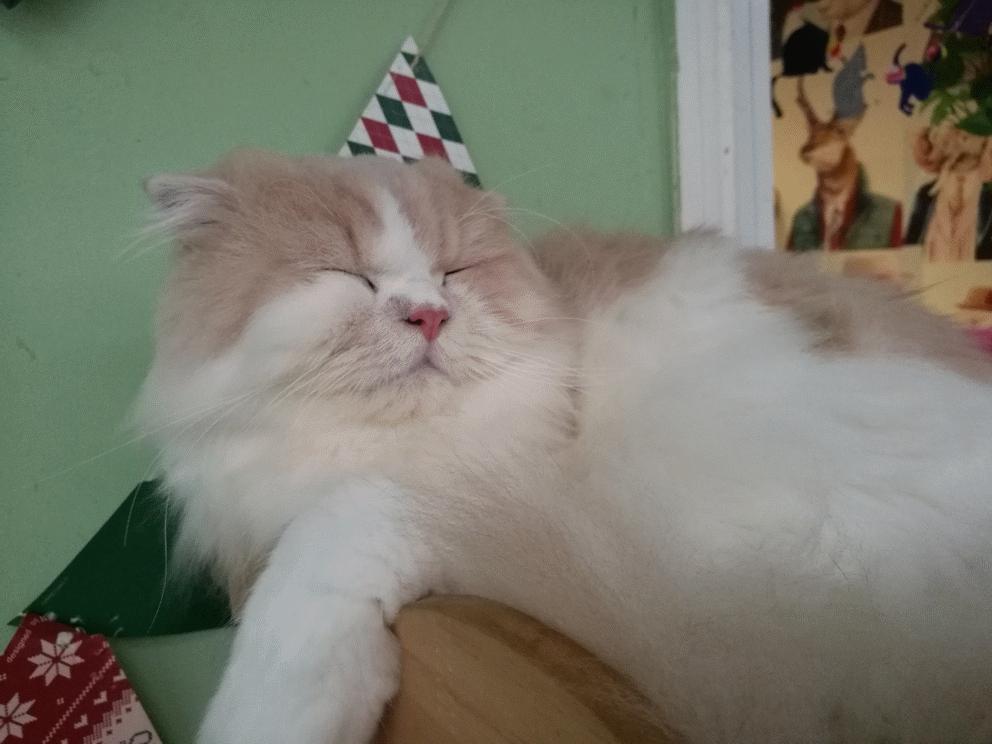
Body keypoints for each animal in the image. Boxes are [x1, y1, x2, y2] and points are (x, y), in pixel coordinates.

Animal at [137, 149, 992, 744]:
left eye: (454, 273)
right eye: (349, 274)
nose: (430, 315)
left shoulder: (461, 490)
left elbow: (307, 585)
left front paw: (266, 713)